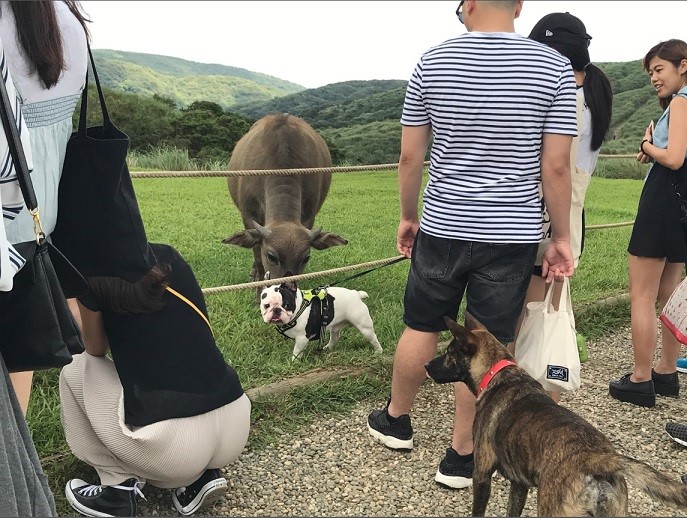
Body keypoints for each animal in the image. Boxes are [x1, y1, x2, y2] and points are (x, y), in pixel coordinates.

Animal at [424, 314, 687, 516]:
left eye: (449, 352)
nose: (426, 366)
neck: (500, 373)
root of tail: (596, 459)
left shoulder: (482, 474)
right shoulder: (519, 485)